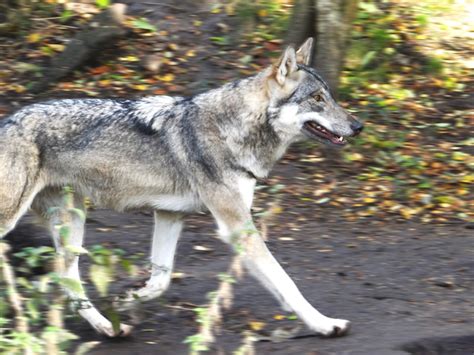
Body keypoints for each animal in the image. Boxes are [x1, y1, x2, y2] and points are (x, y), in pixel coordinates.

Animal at [0, 39, 362, 340]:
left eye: (329, 95)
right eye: (317, 99)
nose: (358, 126)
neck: (234, 130)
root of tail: (8, 119)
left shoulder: (169, 215)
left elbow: (160, 279)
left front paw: (129, 299)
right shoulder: (237, 227)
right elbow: (287, 283)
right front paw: (325, 324)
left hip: (73, 223)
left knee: (66, 277)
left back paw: (106, 328)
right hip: (23, 220)